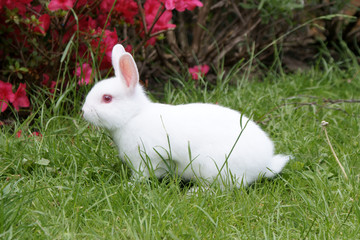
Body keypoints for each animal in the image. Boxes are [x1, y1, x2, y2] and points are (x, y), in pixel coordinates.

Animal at [82, 44, 290, 188]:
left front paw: (128, 185)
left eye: (107, 98)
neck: (133, 116)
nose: (83, 111)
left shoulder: (146, 160)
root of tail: (264, 164)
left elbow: (142, 176)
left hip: (213, 168)